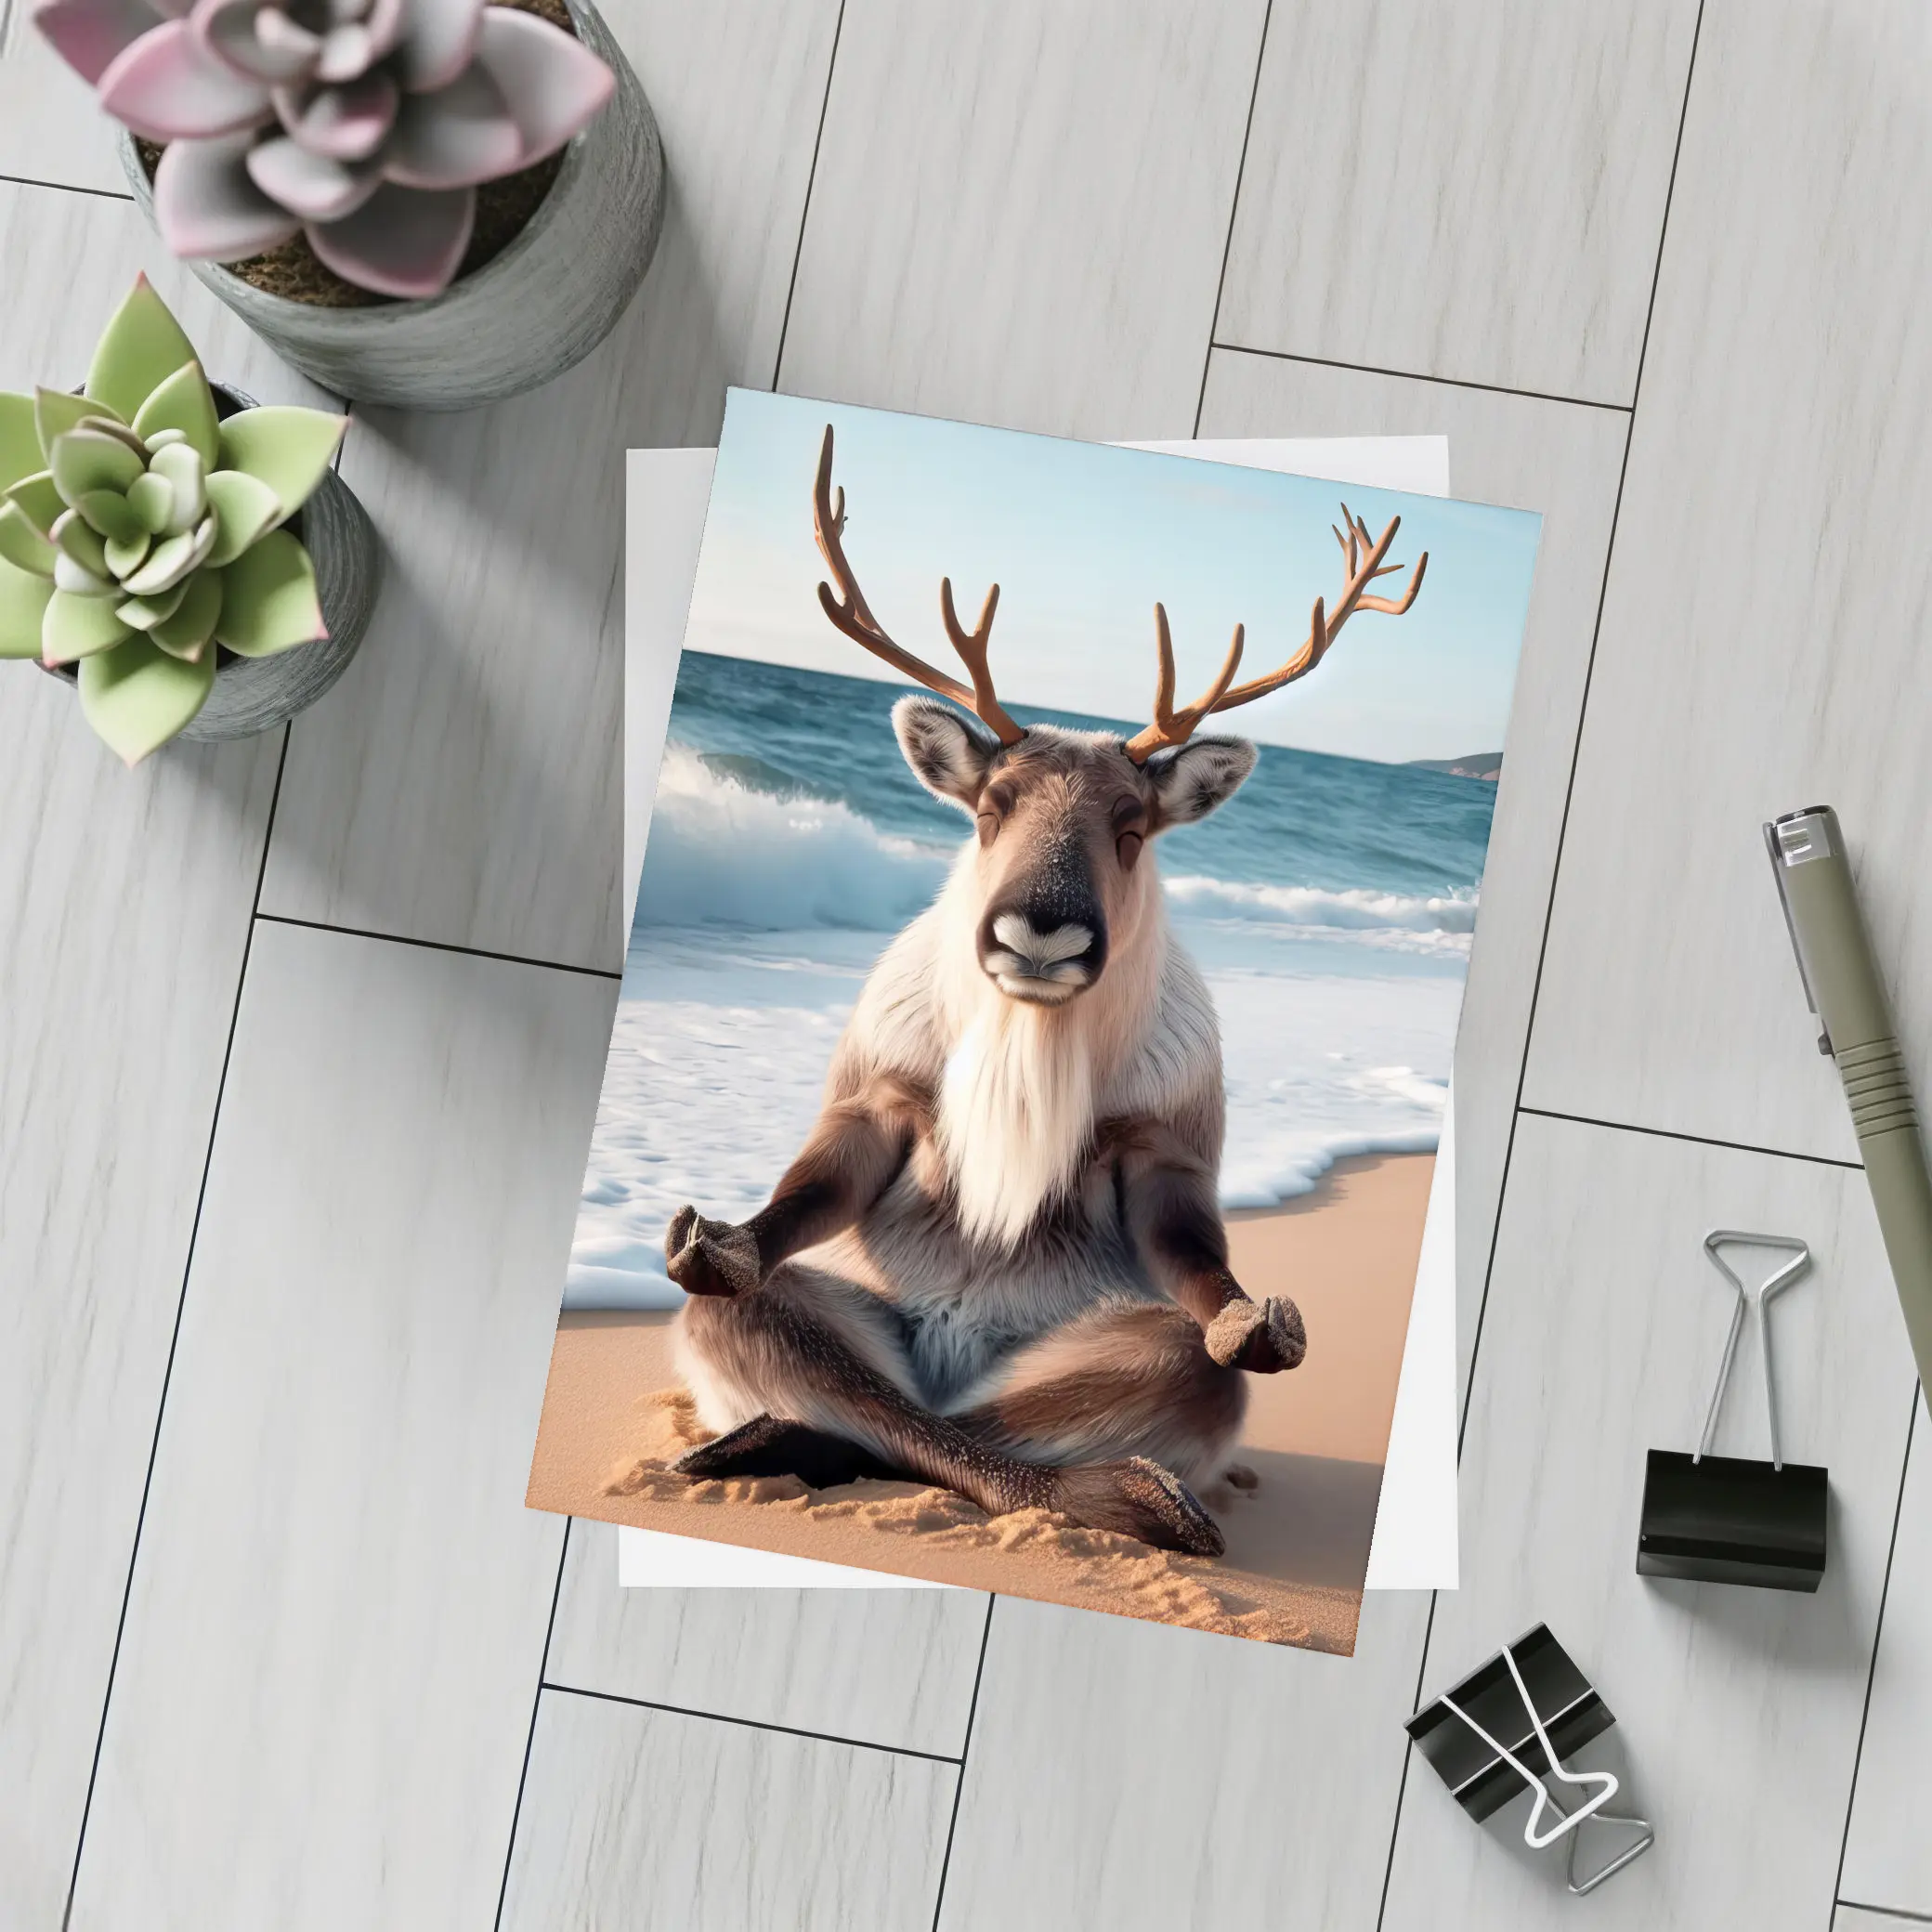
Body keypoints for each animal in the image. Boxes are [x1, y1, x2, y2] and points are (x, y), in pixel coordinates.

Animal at [662, 425, 1427, 1557]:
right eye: (990, 808)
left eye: (1132, 828)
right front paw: (725, 1243)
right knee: (875, 1398)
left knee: (1009, 1421)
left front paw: (1250, 1321)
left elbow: (1194, 1259)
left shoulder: (1169, 1139)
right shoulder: (875, 1091)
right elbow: (807, 1191)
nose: (1041, 927)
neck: (1031, 1043)